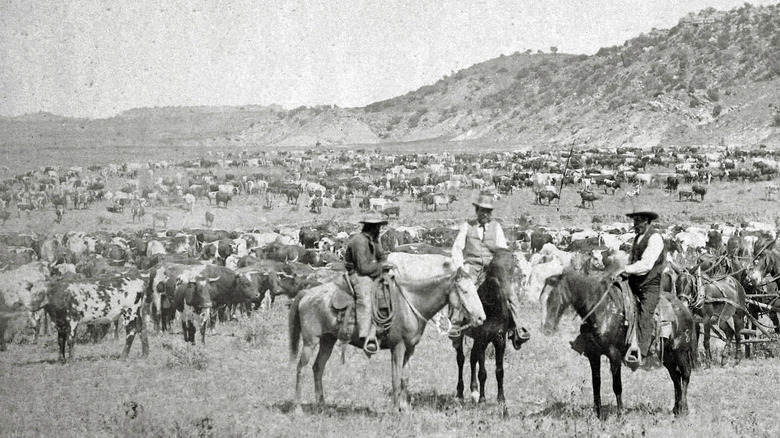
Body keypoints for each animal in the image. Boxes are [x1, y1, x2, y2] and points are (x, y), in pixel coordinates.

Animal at [454, 248, 520, 406]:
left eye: (512, 268)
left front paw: (501, 399)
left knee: (472, 359)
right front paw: (483, 400)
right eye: (494, 267)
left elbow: (499, 371)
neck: (492, 310)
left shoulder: (500, 340)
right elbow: (482, 372)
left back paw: (474, 391)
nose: (507, 295)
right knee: (461, 360)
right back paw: (460, 394)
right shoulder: (482, 339)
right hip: (461, 335)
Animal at [540, 272, 696, 420]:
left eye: (554, 297)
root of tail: (684, 308)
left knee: (685, 374)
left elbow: (617, 386)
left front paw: (620, 416)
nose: (547, 329)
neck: (603, 310)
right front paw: (598, 415)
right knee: (675, 376)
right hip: (667, 355)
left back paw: (684, 409)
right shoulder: (593, 354)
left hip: (680, 351)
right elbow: (596, 384)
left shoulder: (614, 355)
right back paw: (676, 409)